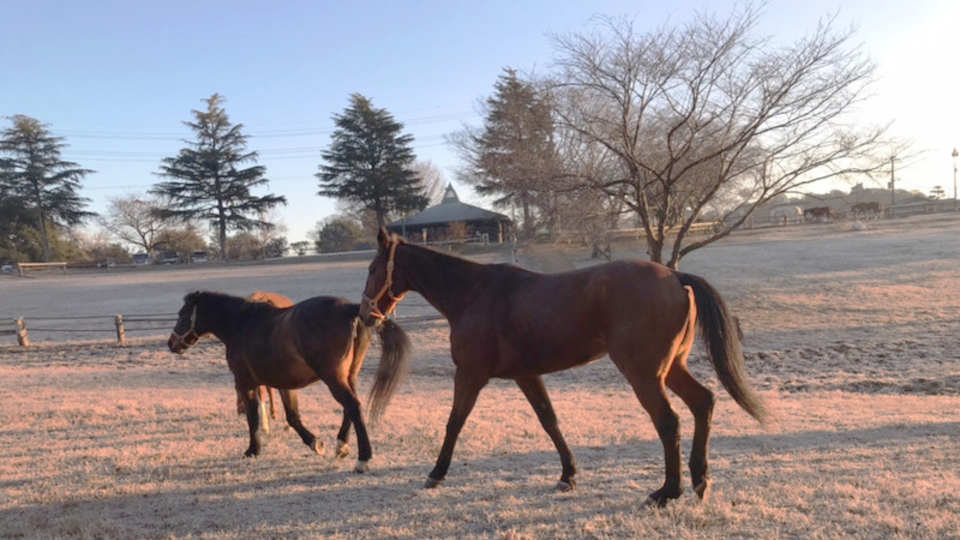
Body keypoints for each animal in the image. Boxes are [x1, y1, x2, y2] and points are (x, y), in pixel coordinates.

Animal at [169, 292, 408, 472]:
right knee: (350, 408)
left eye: (182, 314)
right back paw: (341, 446)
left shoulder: (246, 383)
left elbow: (253, 418)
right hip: (348, 376)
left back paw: (363, 459)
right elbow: (292, 417)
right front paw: (315, 443)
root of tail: (350, 308)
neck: (242, 324)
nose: (171, 343)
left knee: (353, 406)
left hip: (333, 378)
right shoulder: (284, 384)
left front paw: (252, 450)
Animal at [356, 228, 768, 506]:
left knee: (669, 422)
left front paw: (436, 474)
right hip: (671, 369)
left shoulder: (470, 375)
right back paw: (700, 481)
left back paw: (667, 491)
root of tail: (676, 277)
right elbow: (549, 420)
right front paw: (568, 475)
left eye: (374, 268)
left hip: (645, 375)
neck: (473, 294)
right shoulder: (526, 375)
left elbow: (454, 422)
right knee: (703, 403)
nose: (365, 315)